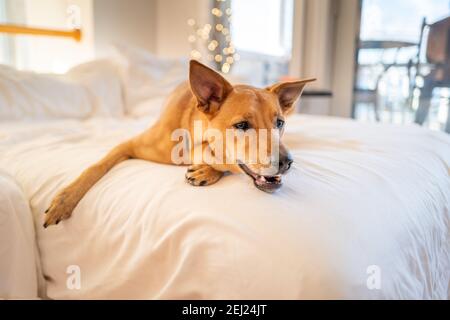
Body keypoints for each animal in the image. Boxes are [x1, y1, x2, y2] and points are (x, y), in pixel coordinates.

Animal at [44, 60, 314, 228]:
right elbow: (95, 168)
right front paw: (64, 200)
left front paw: (206, 170)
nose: (287, 162)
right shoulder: (128, 145)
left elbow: (221, 162)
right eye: (242, 125)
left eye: (279, 123)